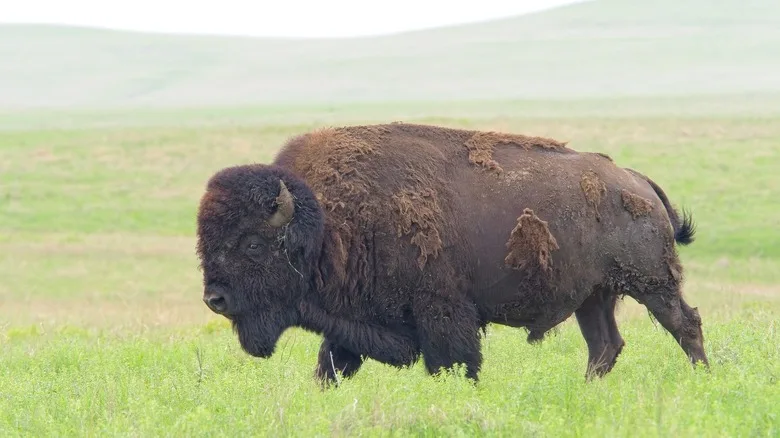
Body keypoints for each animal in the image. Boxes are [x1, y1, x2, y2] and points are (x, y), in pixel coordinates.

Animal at [196, 122, 708, 385]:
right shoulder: (350, 322)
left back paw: (704, 378)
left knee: (685, 323)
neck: (325, 225)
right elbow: (331, 365)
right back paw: (587, 391)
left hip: (652, 282)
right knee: (605, 345)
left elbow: (454, 362)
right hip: (594, 296)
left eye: (253, 244)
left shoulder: (443, 311)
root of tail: (635, 180)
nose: (214, 299)